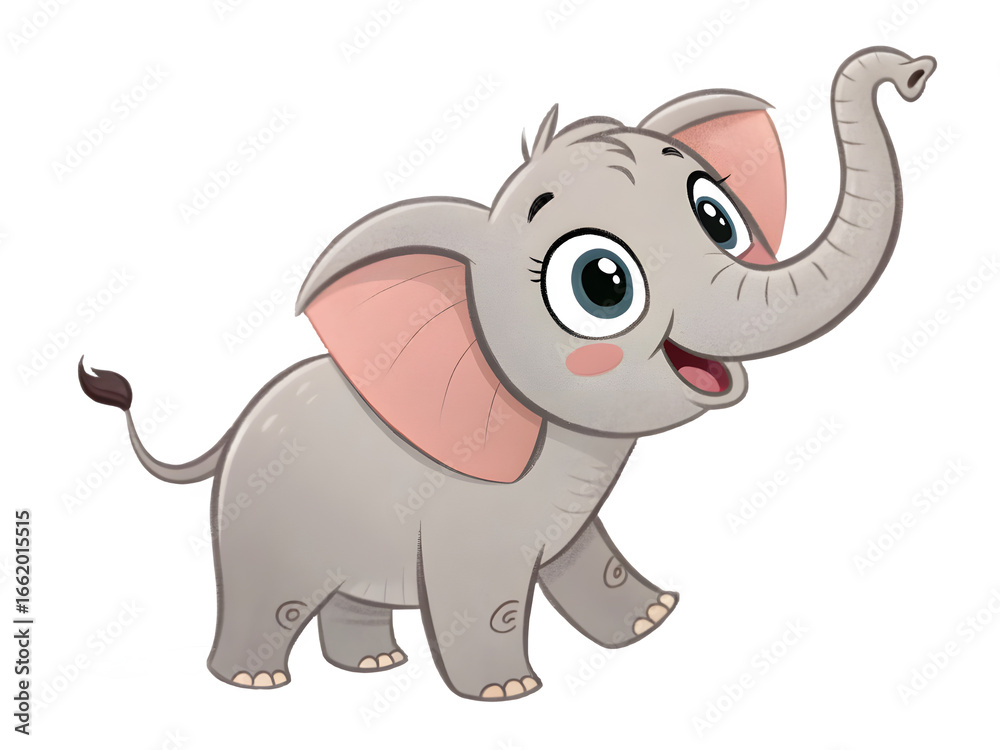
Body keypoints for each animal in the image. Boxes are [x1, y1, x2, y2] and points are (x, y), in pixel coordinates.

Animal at [80, 46, 935, 701]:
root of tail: (235, 426)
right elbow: (485, 597)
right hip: (265, 515)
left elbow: (590, 565)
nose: (915, 71)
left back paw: (374, 664)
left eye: (717, 218)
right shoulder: (471, 512)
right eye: (602, 283)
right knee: (275, 596)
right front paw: (507, 693)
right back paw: (254, 683)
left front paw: (651, 621)